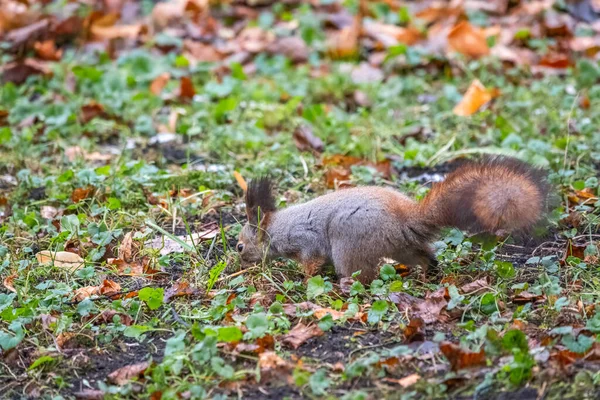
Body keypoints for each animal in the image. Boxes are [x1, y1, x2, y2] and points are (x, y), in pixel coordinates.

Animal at [234, 156, 548, 284]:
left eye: (239, 246)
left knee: (362, 276)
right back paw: (430, 272)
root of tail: (405, 218)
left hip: (350, 244)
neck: (278, 229)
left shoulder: (306, 240)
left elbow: (312, 262)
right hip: (401, 248)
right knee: (424, 256)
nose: (239, 262)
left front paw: (304, 278)